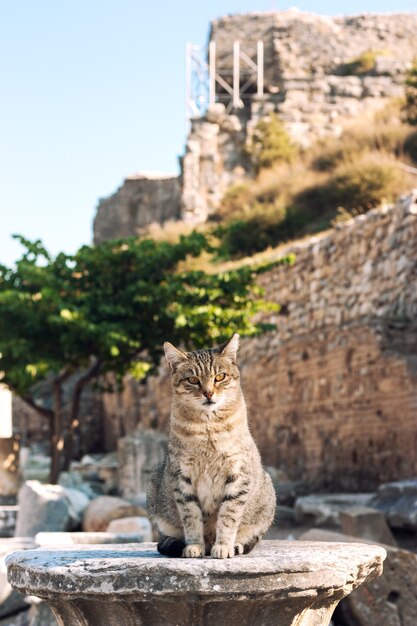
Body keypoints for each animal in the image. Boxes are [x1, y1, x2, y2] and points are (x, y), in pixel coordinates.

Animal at [146, 332, 276, 556]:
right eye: (193, 380)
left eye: (220, 377)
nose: (208, 393)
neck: (208, 429)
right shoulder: (182, 477)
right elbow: (191, 517)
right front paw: (194, 546)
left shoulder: (238, 475)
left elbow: (228, 517)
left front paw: (223, 547)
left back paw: (234, 545)